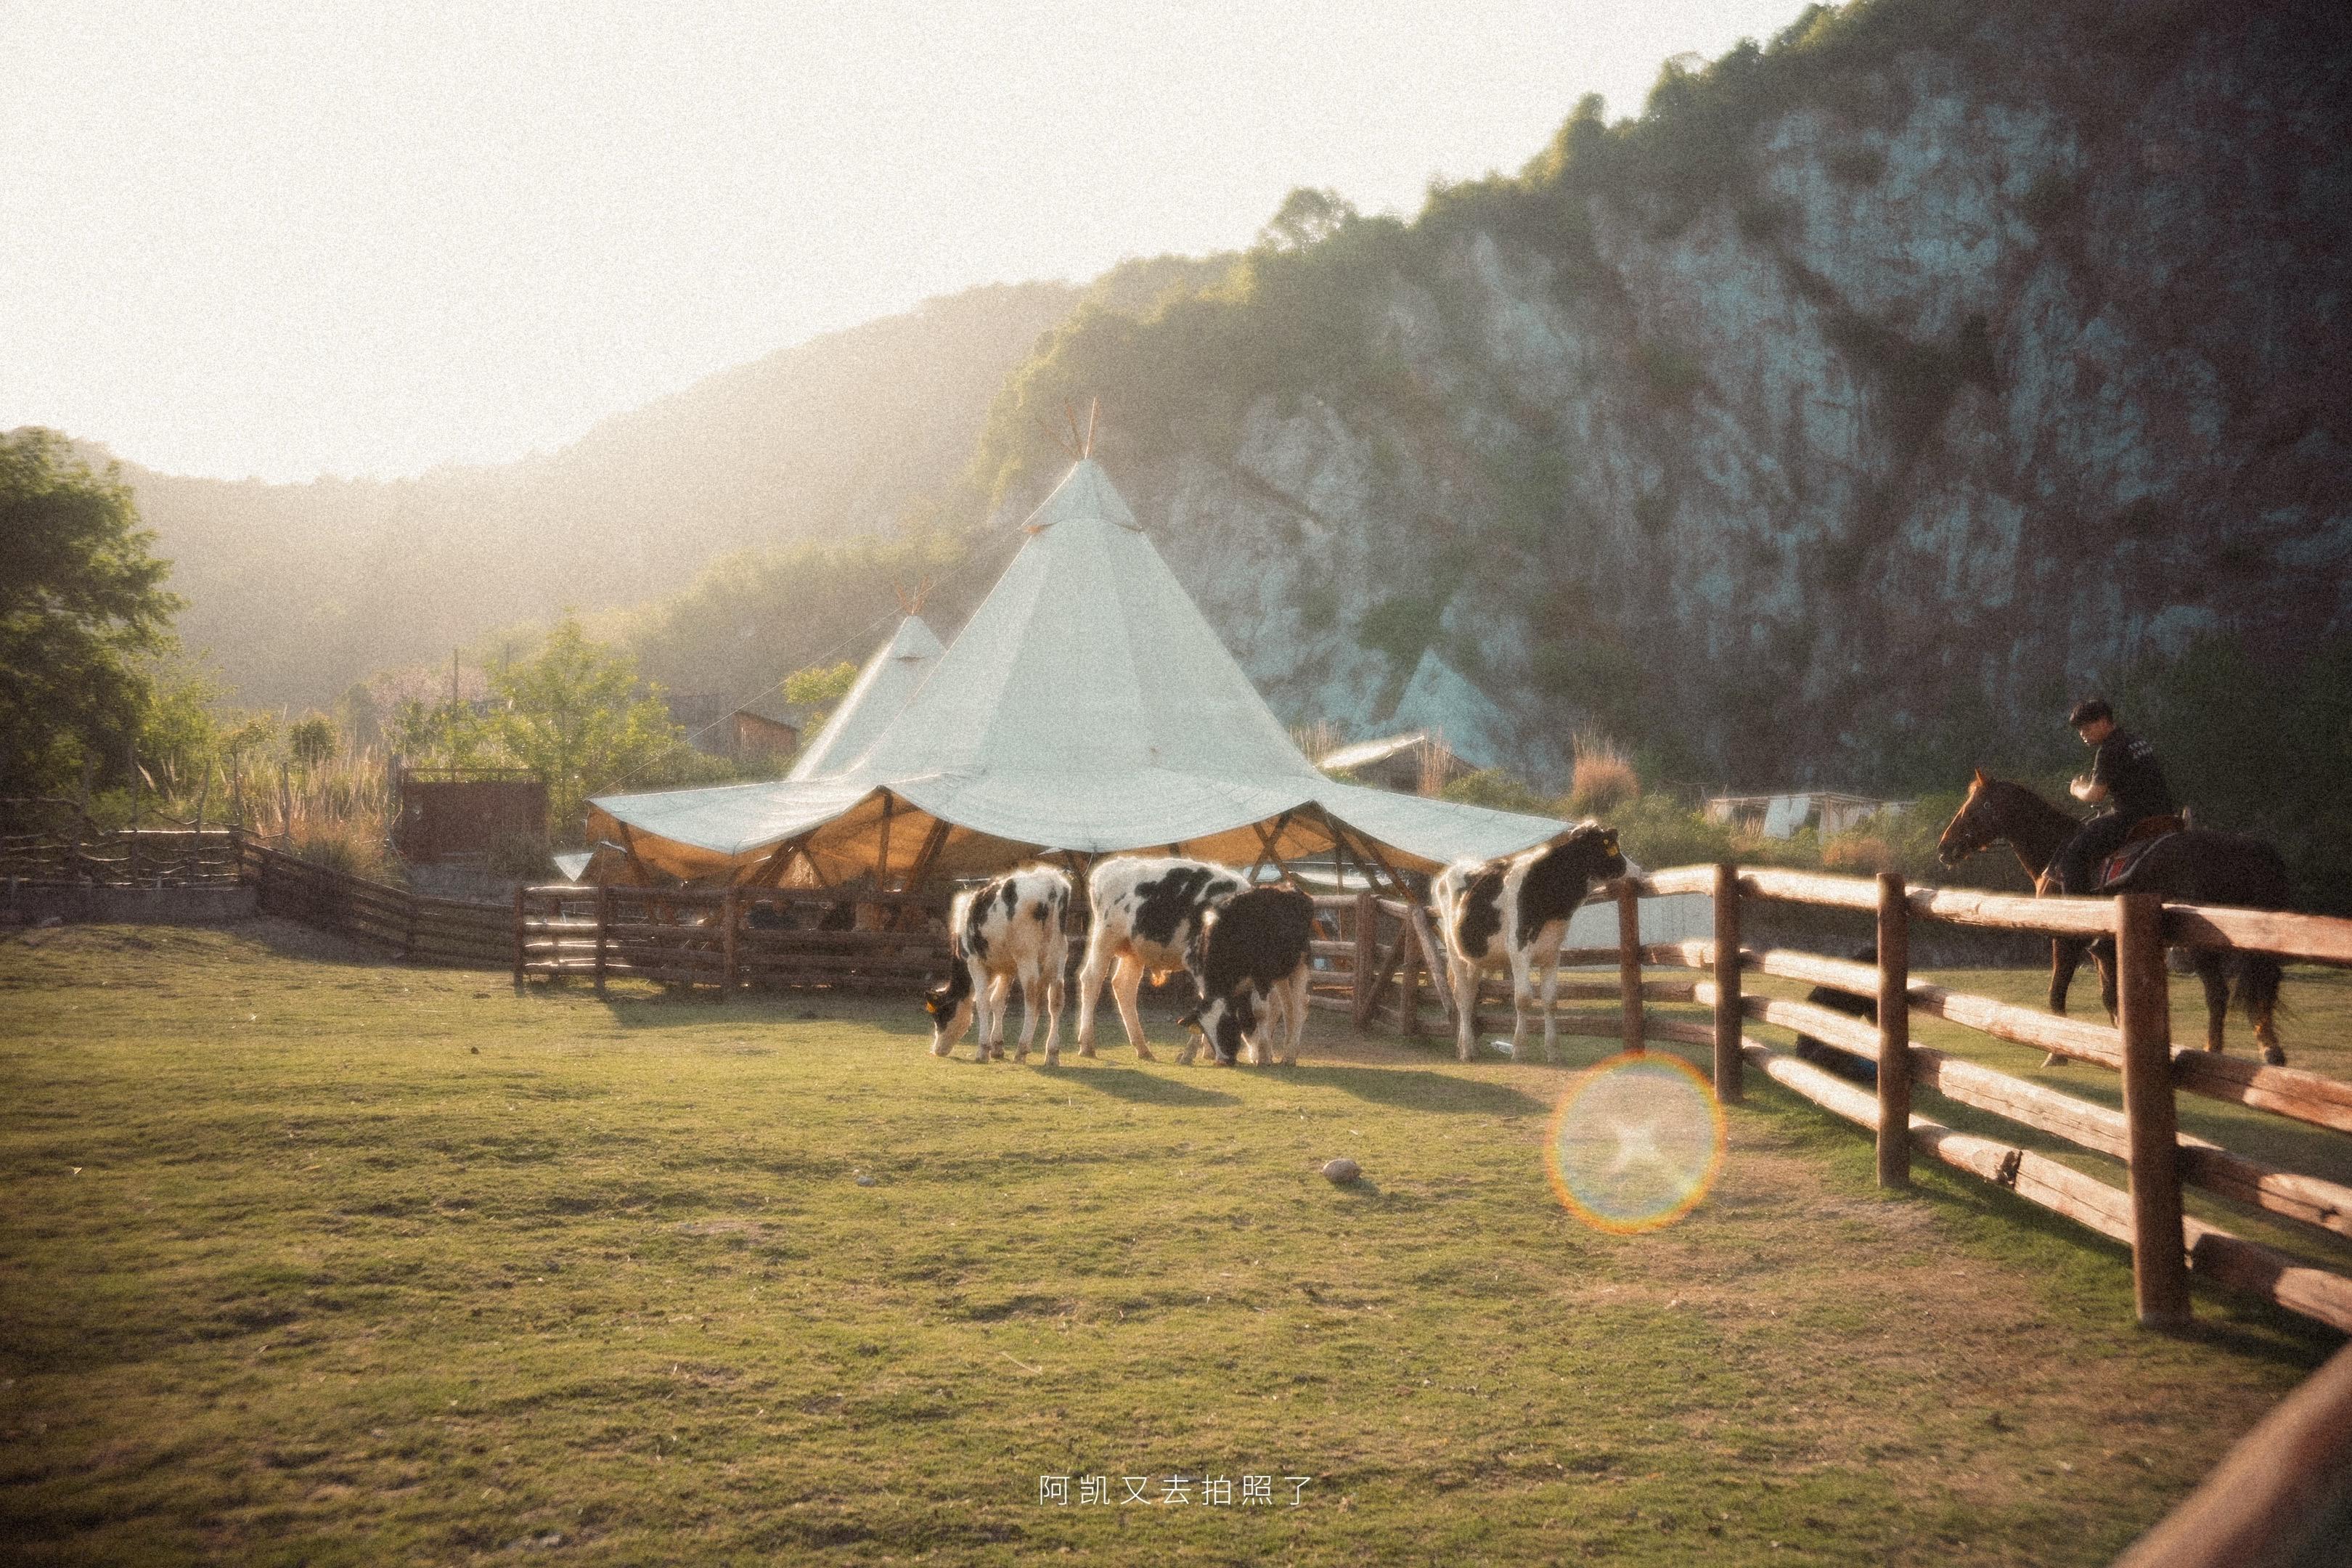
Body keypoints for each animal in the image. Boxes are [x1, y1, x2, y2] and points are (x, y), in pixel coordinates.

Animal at [924, 866, 1072, 1064]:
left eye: (940, 1015)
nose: (936, 1051)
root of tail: (1052, 884)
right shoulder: (1007, 968)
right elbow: (998, 1001)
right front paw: (997, 1047)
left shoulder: (975, 963)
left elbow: (983, 1002)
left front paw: (983, 1050)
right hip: (1059, 955)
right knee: (1056, 999)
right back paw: (1052, 1054)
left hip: (1026, 956)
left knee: (1032, 999)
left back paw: (1022, 1049)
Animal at [1074, 856, 1247, 1059]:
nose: (1226, 1059)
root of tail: (1108, 868)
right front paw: (1195, 1052)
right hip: (1105, 938)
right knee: (1092, 980)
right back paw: (1087, 1044)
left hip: (1134, 951)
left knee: (1124, 985)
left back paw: (1142, 1048)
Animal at [1176, 886, 1315, 1067]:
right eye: (1207, 1031)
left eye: (1225, 1025)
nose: (1224, 1060)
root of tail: (1291, 889)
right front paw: (1189, 1054)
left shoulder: (1261, 976)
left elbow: (1260, 1012)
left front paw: (1263, 1057)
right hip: (1281, 974)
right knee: (1287, 1007)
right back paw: (1287, 1054)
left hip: (1301, 964)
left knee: (1300, 1006)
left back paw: (1290, 1055)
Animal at [1431, 822, 1629, 1063]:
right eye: (1609, 846)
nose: (1629, 867)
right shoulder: (1519, 951)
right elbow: (1523, 998)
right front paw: (1519, 1049)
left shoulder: (1552, 953)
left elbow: (1551, 1000)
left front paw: (1553, 1051)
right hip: (1454, 949)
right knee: (1462, 996)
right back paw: (1467, 1050)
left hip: (1476, 957)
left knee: (1470, 995)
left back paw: (1467, 1046)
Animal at [1934, 770, 2288, 1066]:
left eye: (1973, 807)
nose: (1944, 847)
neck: (2055, 851)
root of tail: (2249, 848)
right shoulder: (2103, 950)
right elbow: (2110, 998)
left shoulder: (2066, 940)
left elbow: (2057, 991)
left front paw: (2057, 1053)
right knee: (2259, 991)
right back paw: (2270, 1051)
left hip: (2200, 947)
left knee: (2218, 993)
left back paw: (2214, 1050)